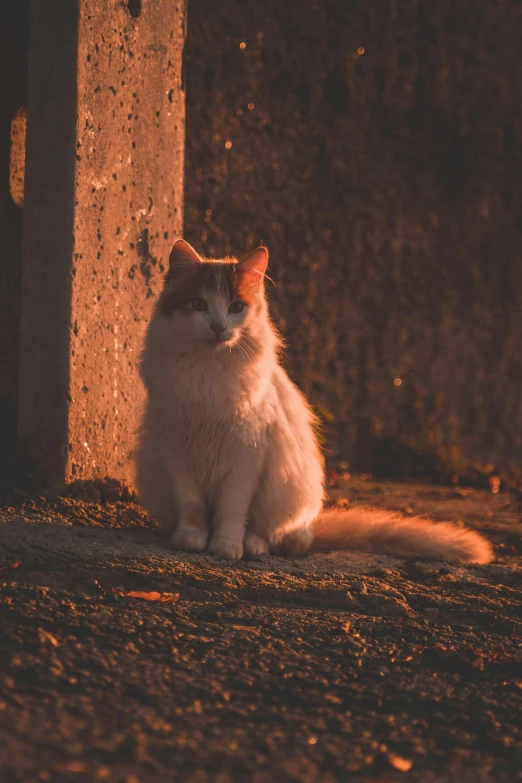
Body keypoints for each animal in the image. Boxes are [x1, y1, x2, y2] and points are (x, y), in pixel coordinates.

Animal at [135, 239, 492, 564]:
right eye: (199, 305)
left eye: (236, 307)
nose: (218, 327)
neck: (208, 369)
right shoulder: (178, 449)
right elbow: (192, 505)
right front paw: (191, 538)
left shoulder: (245, 454)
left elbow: (231, 509)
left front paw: (226, 545)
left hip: (288, 488)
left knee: (278, 536)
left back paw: (254, 545)